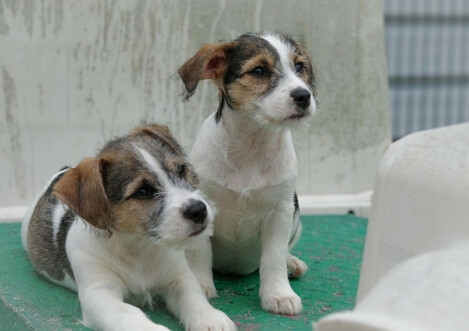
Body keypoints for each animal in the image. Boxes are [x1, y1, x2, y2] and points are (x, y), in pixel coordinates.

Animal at [20, 124, 236, 331]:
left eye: (181, 170)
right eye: (142, 191)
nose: (199, 210)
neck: (139, 247)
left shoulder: (180, 279)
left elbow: (194, 298)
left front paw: (211, 319)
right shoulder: (99, 292)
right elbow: (128, 313)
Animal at [177, 32, 316, 316]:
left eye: (299, 67)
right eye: (259, 71)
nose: (304, 96)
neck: (252, 146)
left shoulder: (281, 211)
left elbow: (273, 257)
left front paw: (279, 294)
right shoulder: (201, 207)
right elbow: (199, 253)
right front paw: (201, 286)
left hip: (296, 220)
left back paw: (292, 263)